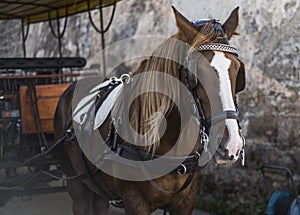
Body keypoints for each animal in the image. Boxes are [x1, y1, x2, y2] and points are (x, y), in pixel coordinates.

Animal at [54, 6, 246, 215]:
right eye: (197, 73)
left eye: (238, 70)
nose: (231, 144)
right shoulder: (135, 202)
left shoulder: (186, 202)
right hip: (77, 185)